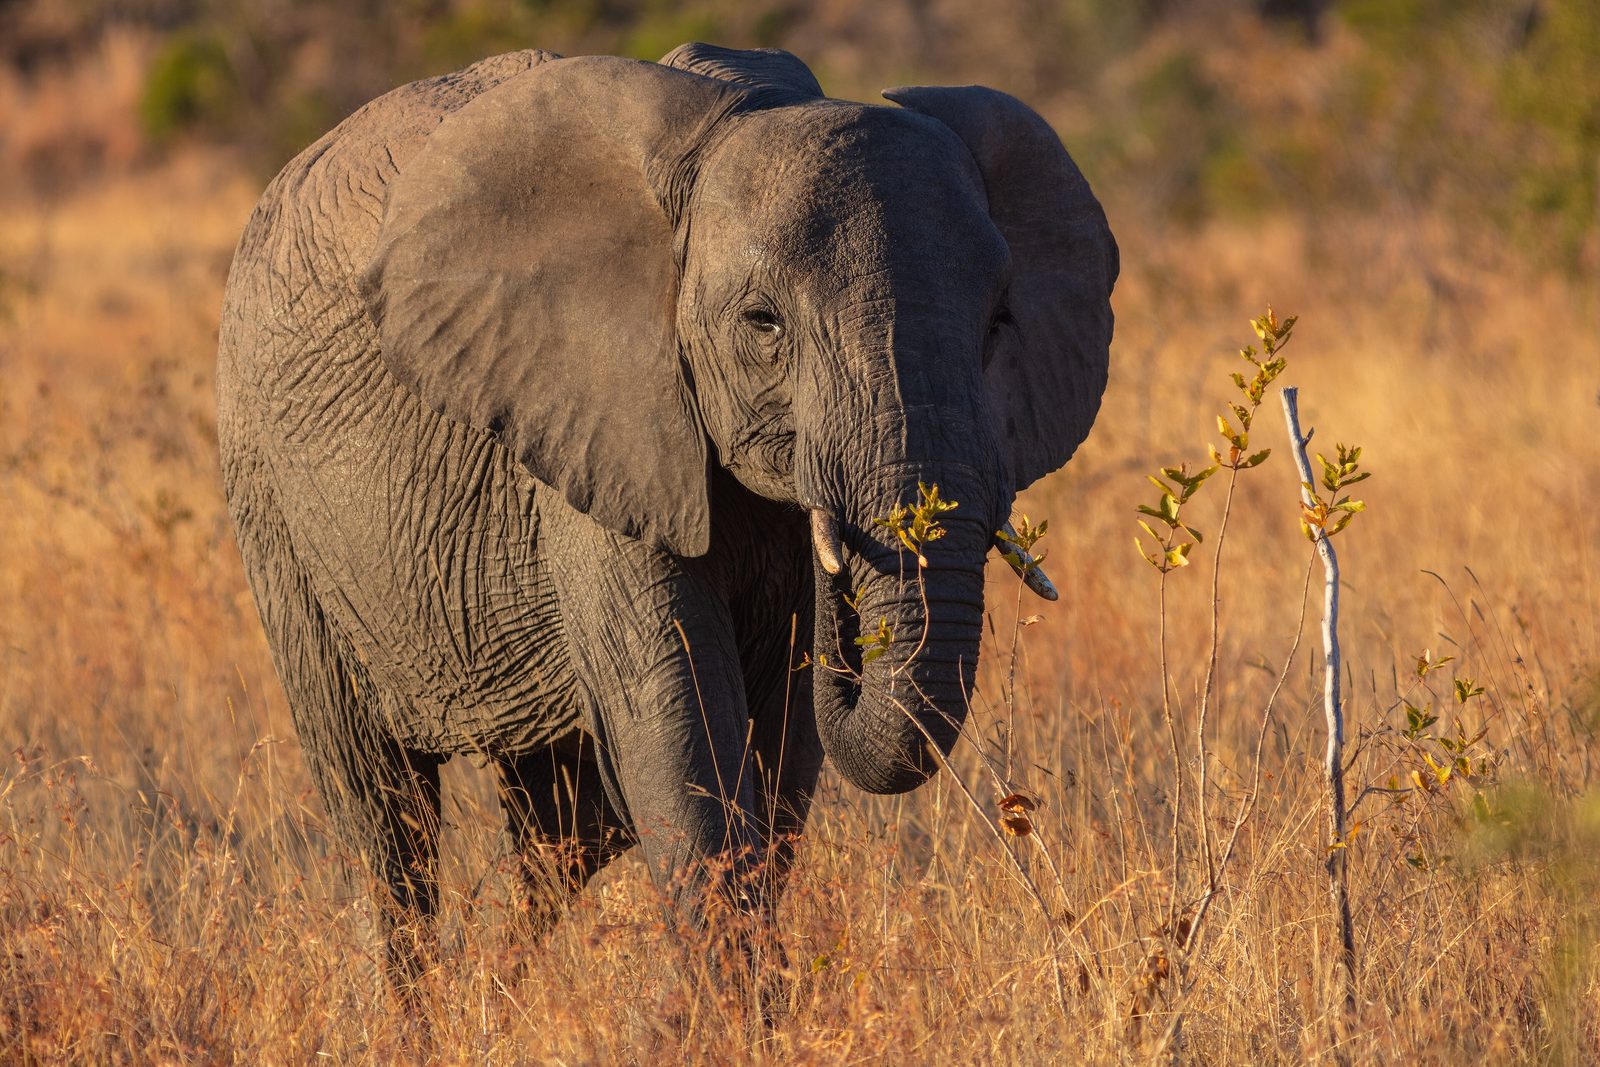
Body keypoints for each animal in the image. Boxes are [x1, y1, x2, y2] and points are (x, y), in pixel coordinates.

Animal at [215, 43, 1116, 988]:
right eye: (763, 322)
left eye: (999, 322)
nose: (847, 595)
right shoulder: (598, 413)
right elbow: (677, 710)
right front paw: (738, 1008)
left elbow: (778, 738)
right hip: (270, 496)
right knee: (382, 807)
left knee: (562, 827)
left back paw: (496, 979)